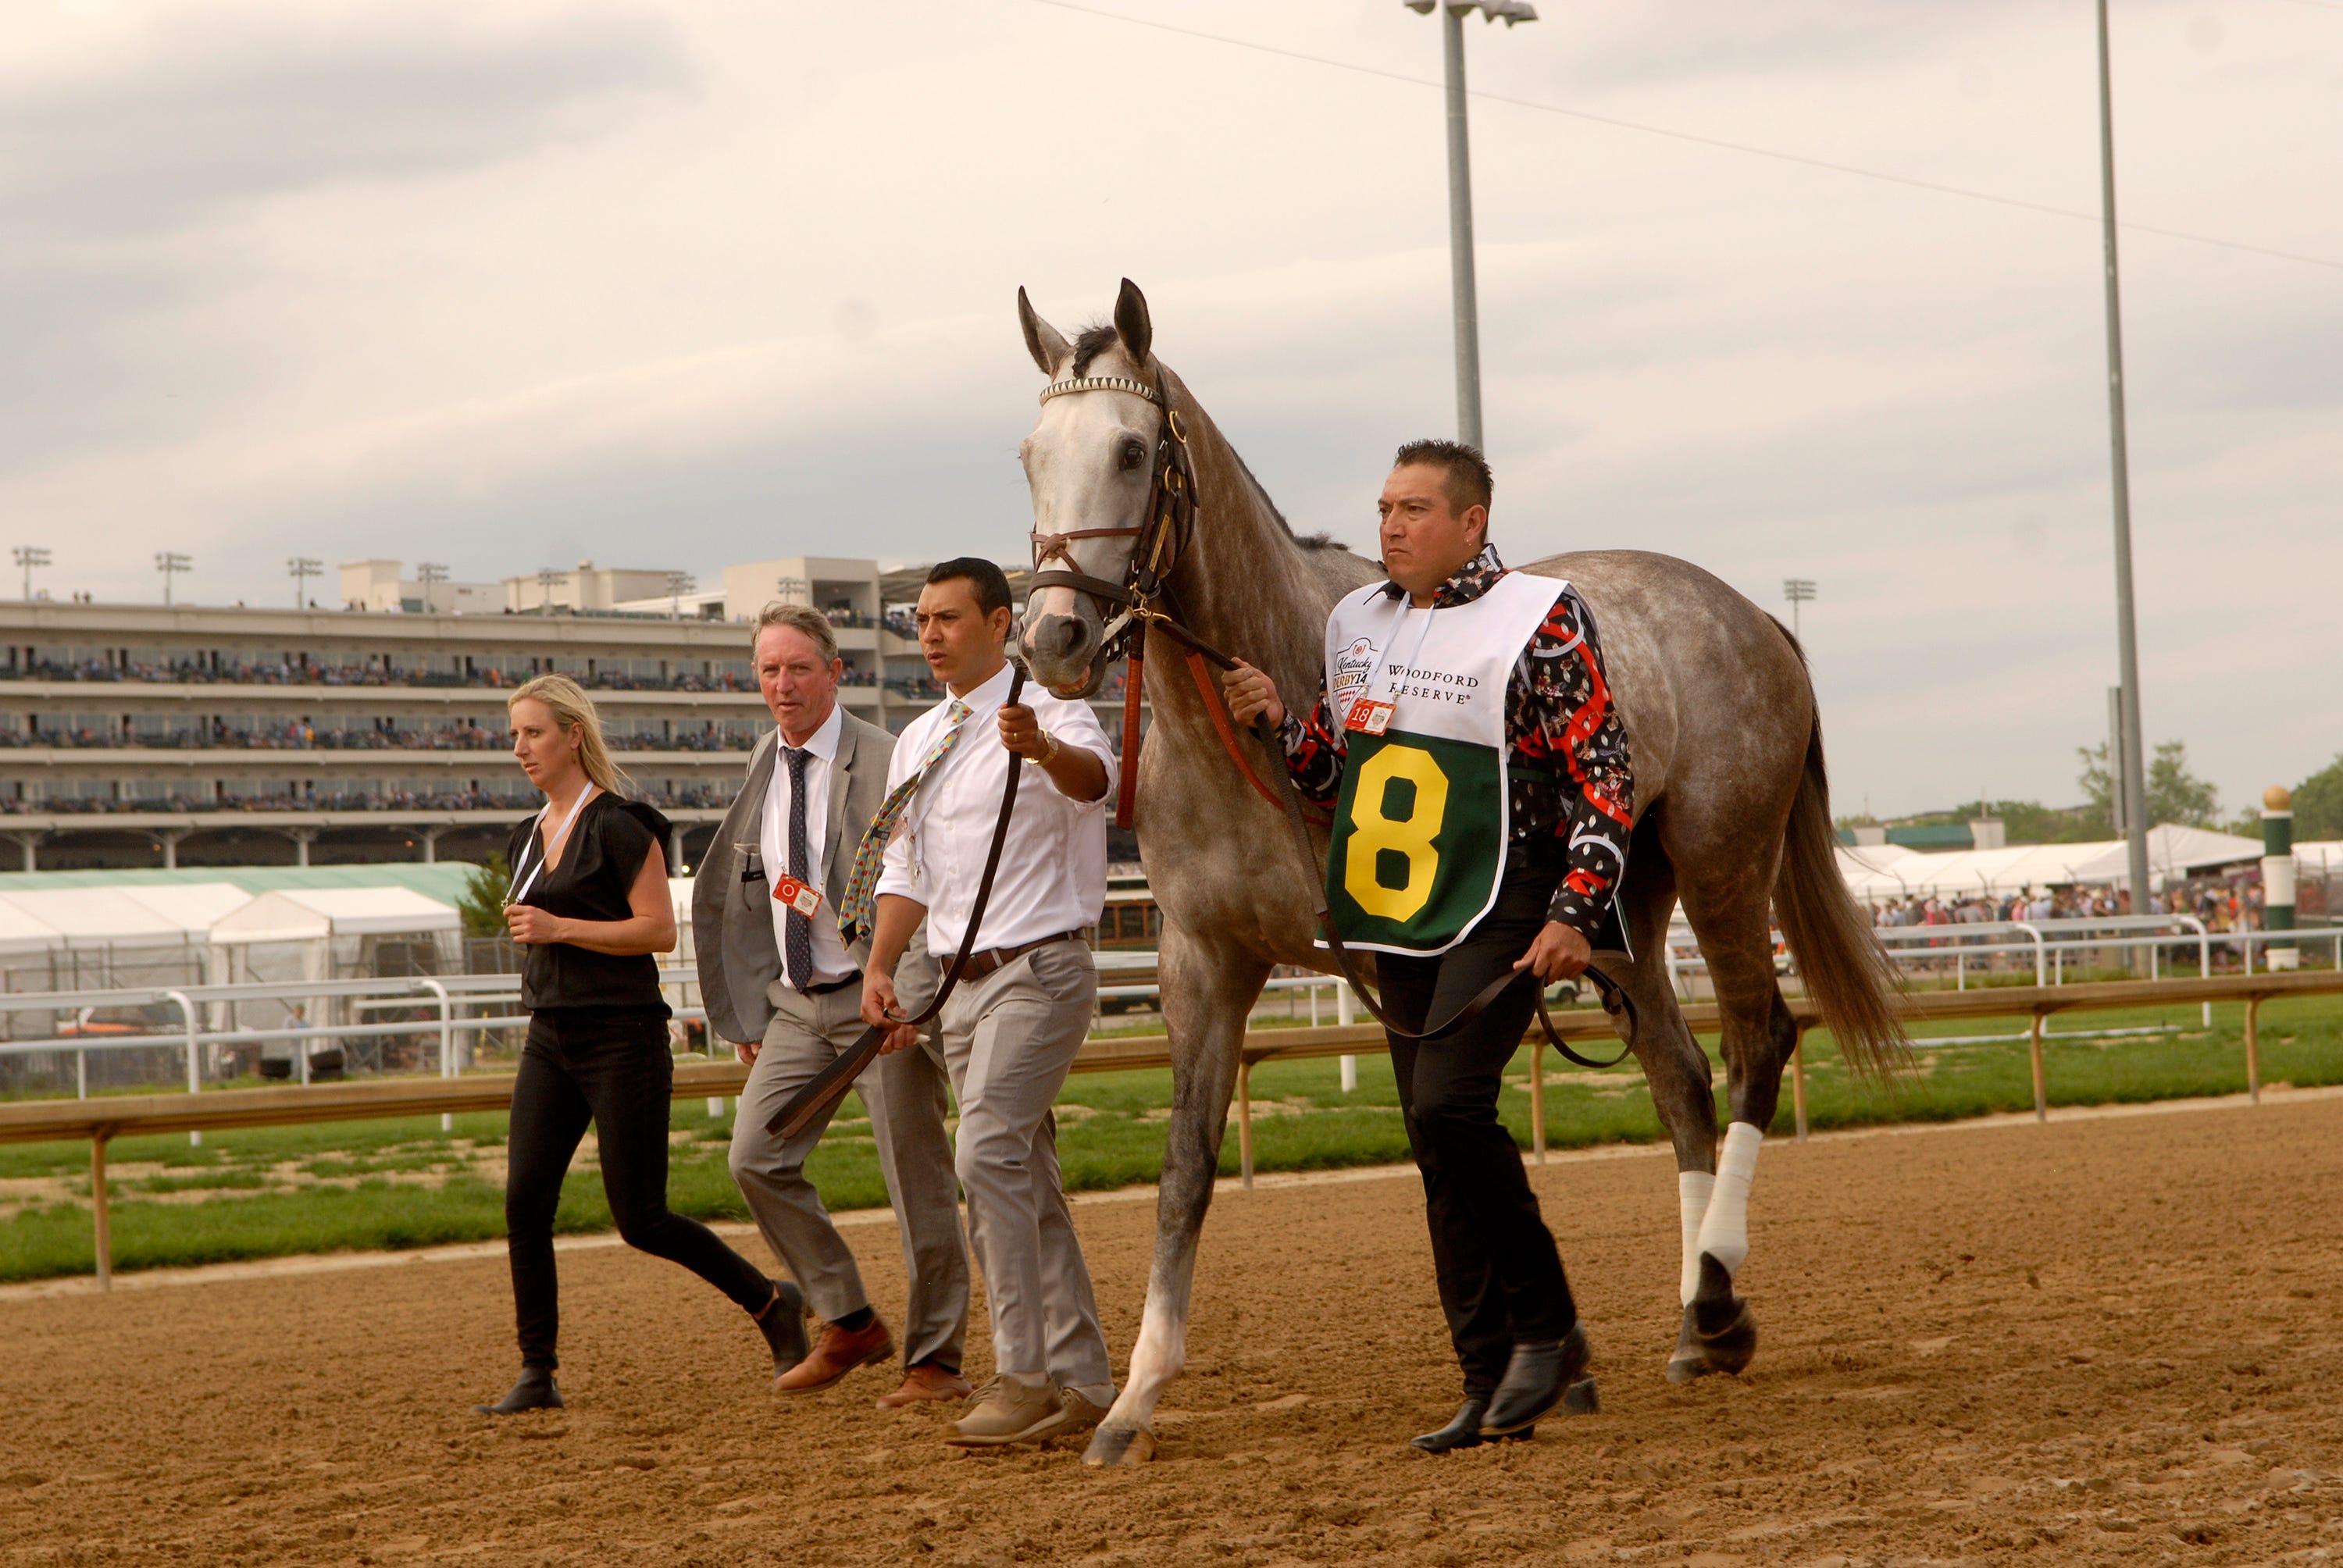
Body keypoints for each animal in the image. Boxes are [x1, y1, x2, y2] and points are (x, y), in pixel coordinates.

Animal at [1017, 275, 1893, 1462]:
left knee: (1757, 1044)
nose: (1054, 635)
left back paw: (1716, 1299)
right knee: (1679, 1077)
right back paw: (1687, 1325)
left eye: (1132, 449)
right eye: (1031, 451)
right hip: (1620, 910)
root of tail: (1755, 615)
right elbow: (1187, 1170)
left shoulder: (1397, 963)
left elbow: (1446, 1148)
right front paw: (1133, 1400)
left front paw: (1534, 1363)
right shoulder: (1203, 961)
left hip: (1723, 867)